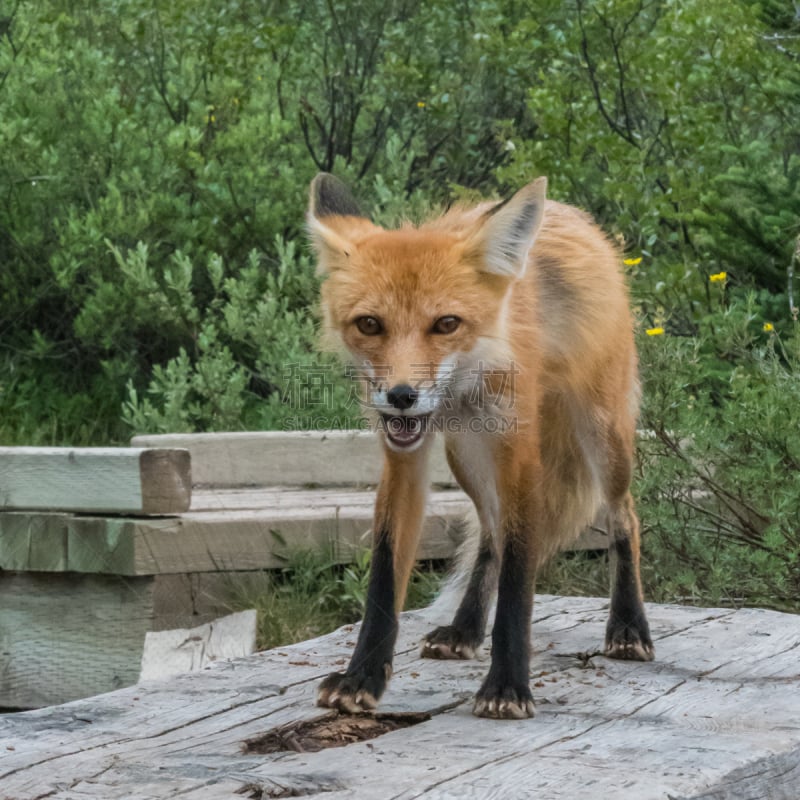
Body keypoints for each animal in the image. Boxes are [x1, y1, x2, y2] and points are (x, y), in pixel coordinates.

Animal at [306, 173, 648, 720]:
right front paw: (363, 676)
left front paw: (507, 685)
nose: (402, 396)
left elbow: (518, 582)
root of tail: (574, 216)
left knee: (625, 518)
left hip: (603, 439)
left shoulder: (520, 457)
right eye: (369, 324)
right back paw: (466, 627)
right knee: (490, 533)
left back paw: (629, 626)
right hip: (465, 456)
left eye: (446, 323)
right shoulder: (404, 457)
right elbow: (384, 573)